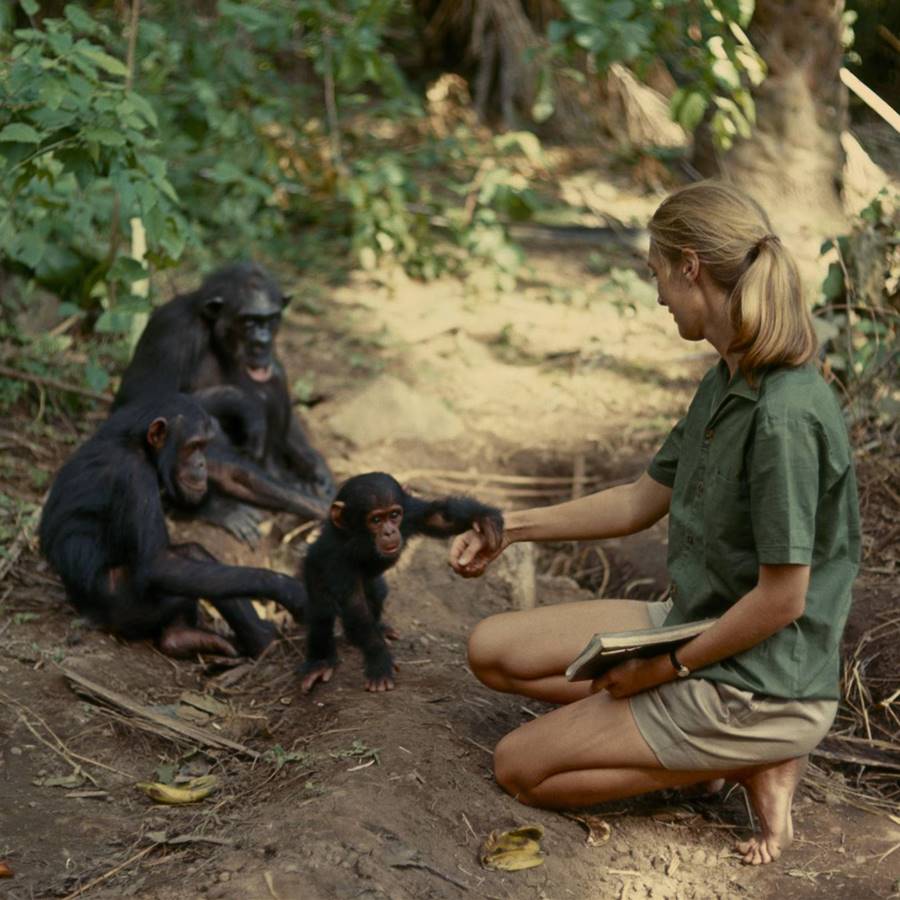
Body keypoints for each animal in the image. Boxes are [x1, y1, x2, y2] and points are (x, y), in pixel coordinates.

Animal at [39, 394, 306, 660]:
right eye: (193, 445)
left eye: (203, 446)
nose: (201, 463)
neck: (141, 446)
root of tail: (88, 615)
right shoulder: (133, 475)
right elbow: (158, 563)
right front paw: (286, 588)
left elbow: (233, 475)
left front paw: (312, 505)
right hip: (130, 607)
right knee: (187, 560)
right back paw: (265, 642)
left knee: (191, 554)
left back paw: (182, 638)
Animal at [112, 260, 334, 540]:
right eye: (249, 321)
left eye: (271, 320)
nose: (263, 342)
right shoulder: (171, 328)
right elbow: (139, 400)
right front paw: (242, 402)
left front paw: (318, 470)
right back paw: (218, 507)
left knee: (275, 374)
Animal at [302, 472, 506, 696]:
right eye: (375, 519)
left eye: (393, 515)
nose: (390, 532)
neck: (363, 540)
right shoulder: (337, 557)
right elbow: (355, 606)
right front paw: (379, 661)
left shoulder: (410, 513)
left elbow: (439, 518)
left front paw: (485, 518)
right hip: (313, 568)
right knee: (322, 612)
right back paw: (320, 662)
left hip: (372, 582)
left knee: (377, 593)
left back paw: (377, 629)